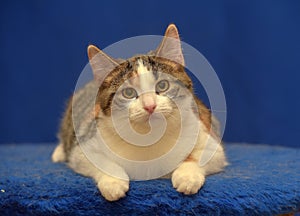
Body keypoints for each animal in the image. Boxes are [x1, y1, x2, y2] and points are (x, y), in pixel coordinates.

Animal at [52, 24, 229, 202]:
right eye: (129, 93)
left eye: (163, 85)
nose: (150, 105)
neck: (150, 138)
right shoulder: (85, 147)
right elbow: (95, 160)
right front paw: (113, 183)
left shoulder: (208, 137)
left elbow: (203, 156)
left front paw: (187, 176)